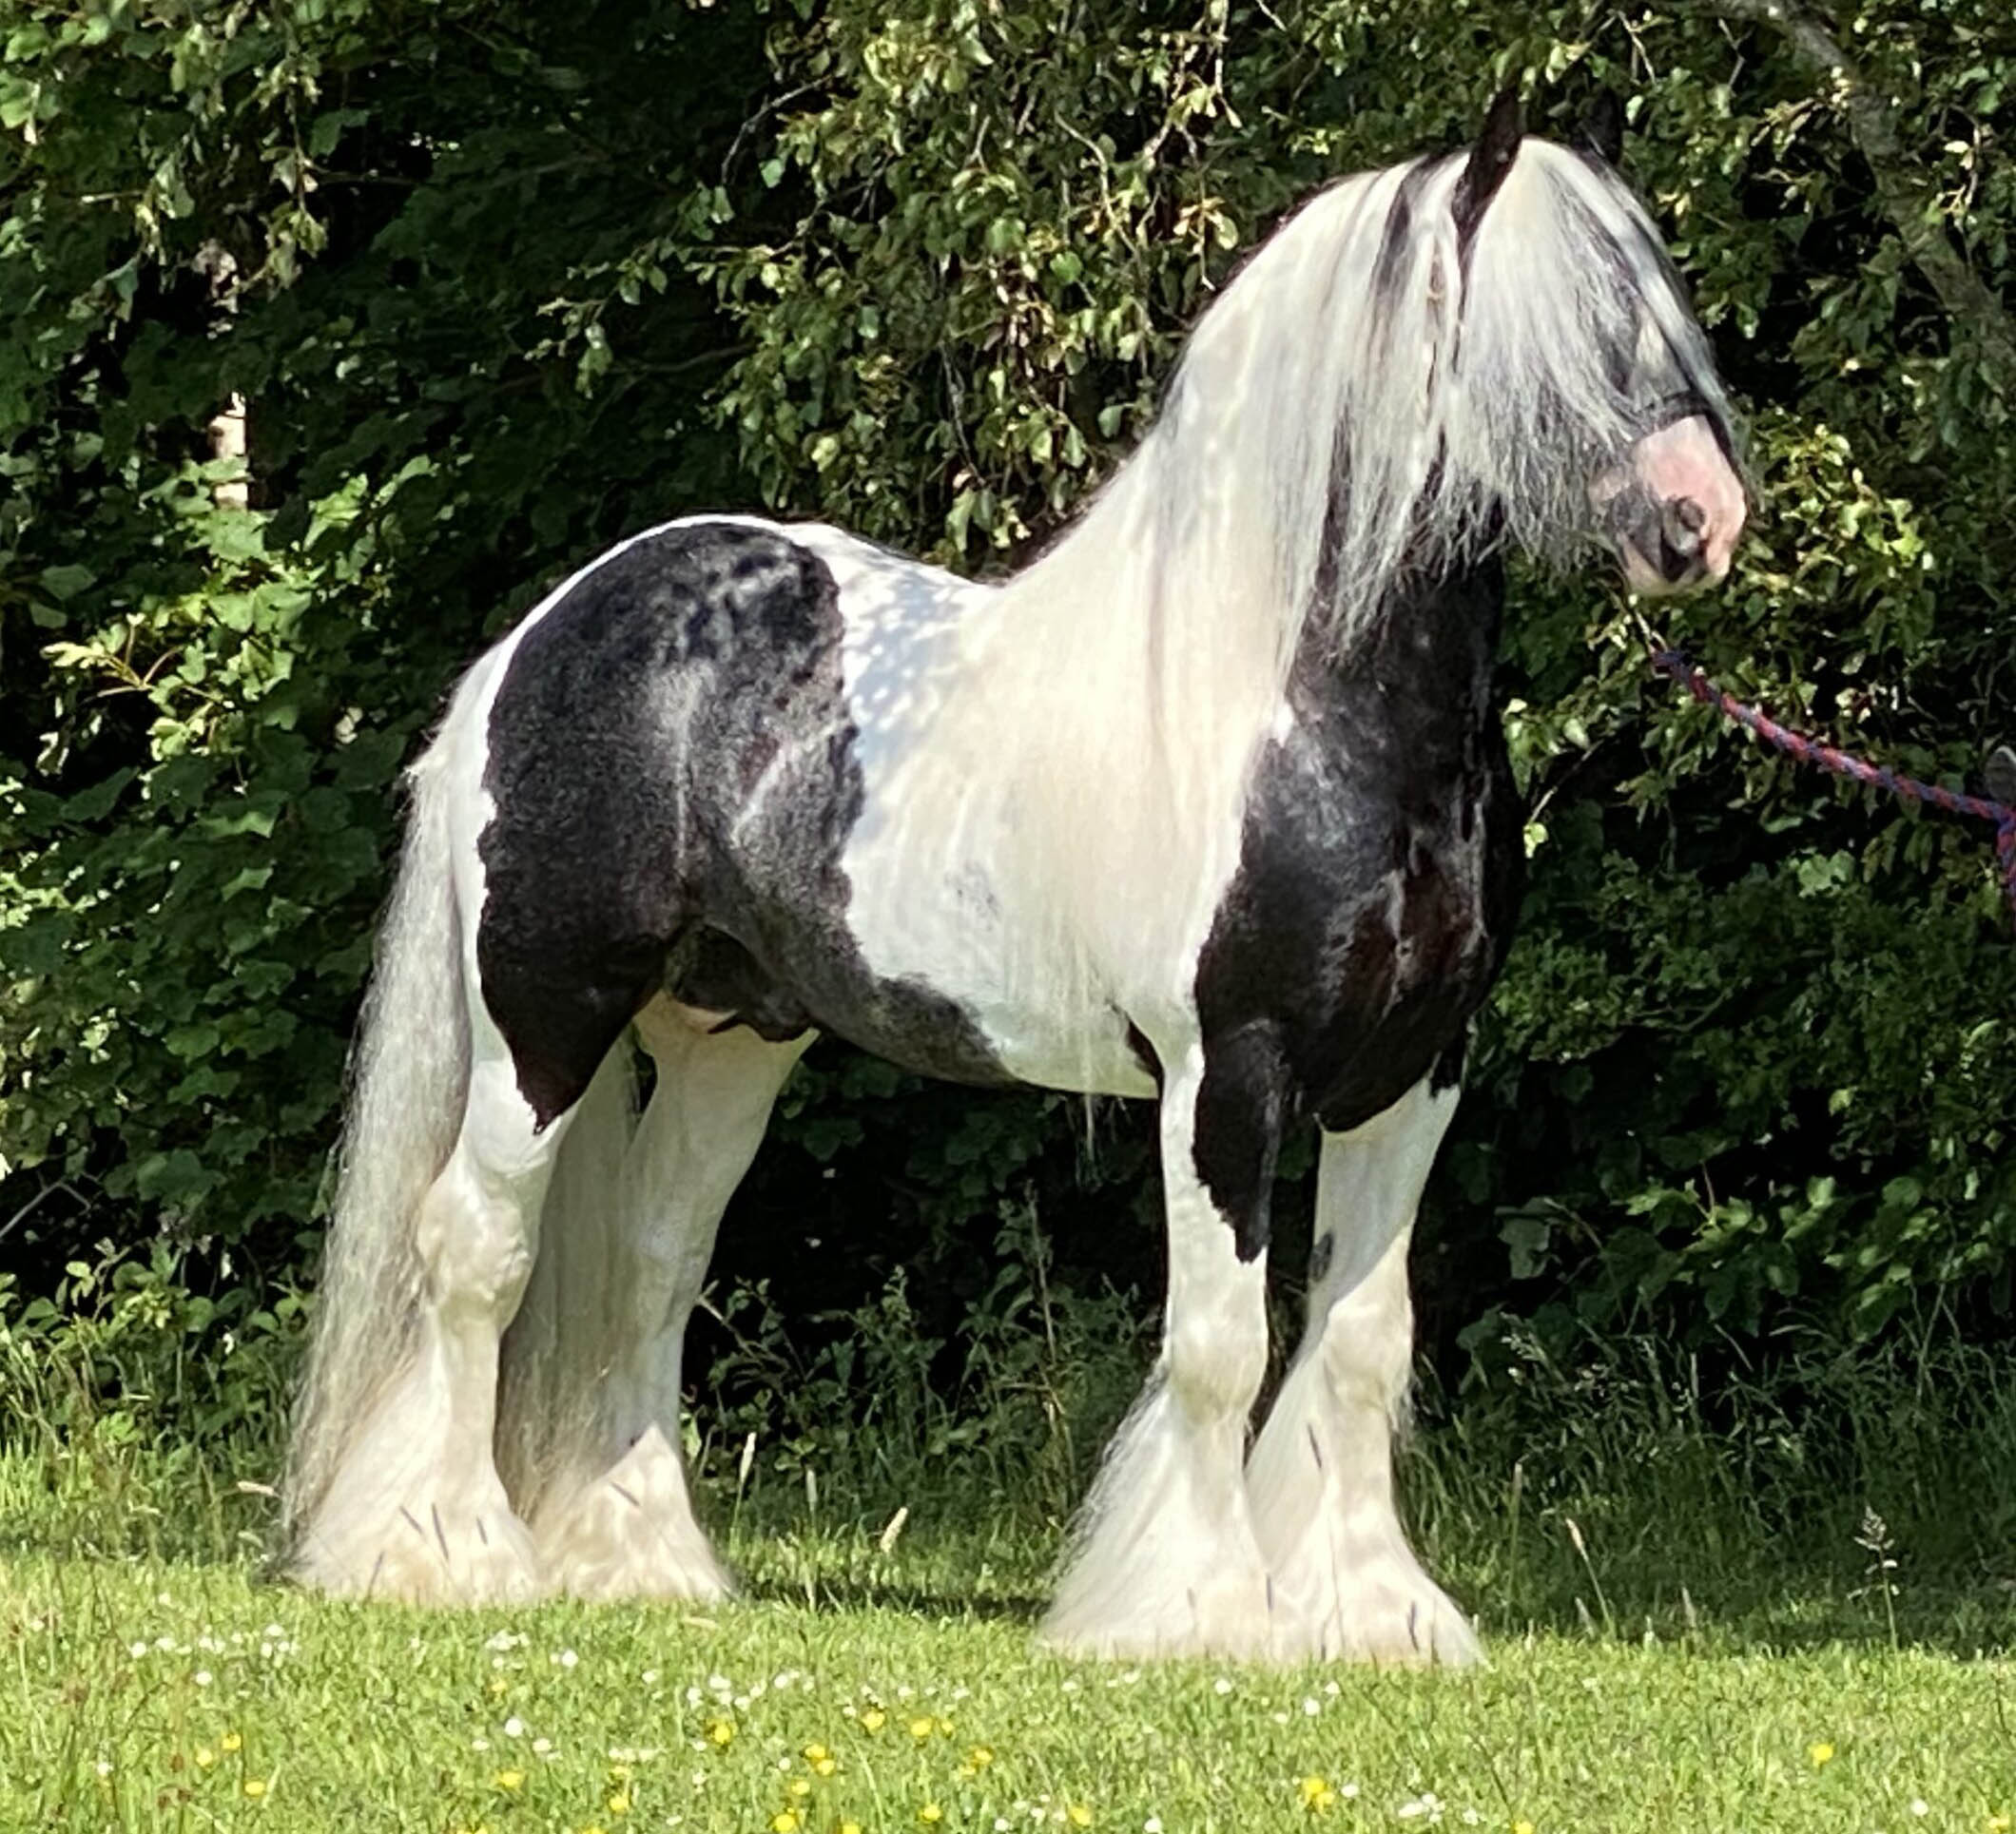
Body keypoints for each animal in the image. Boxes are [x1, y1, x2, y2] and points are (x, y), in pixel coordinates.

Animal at [276, 93, 1741, 1676]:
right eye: (1561, 324)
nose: (1702, 521)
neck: (1307, 713)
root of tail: (546, 632)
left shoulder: (1414, 1076)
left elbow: (1358, 1345)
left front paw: (1370, 1612)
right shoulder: (1228, 1076)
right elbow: (1221, 1346)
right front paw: (1198, 1612)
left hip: (729, 1037)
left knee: (654, 1265)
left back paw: (641, 1564)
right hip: (544, 1017)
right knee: (473, 1249)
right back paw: (444, 1553)